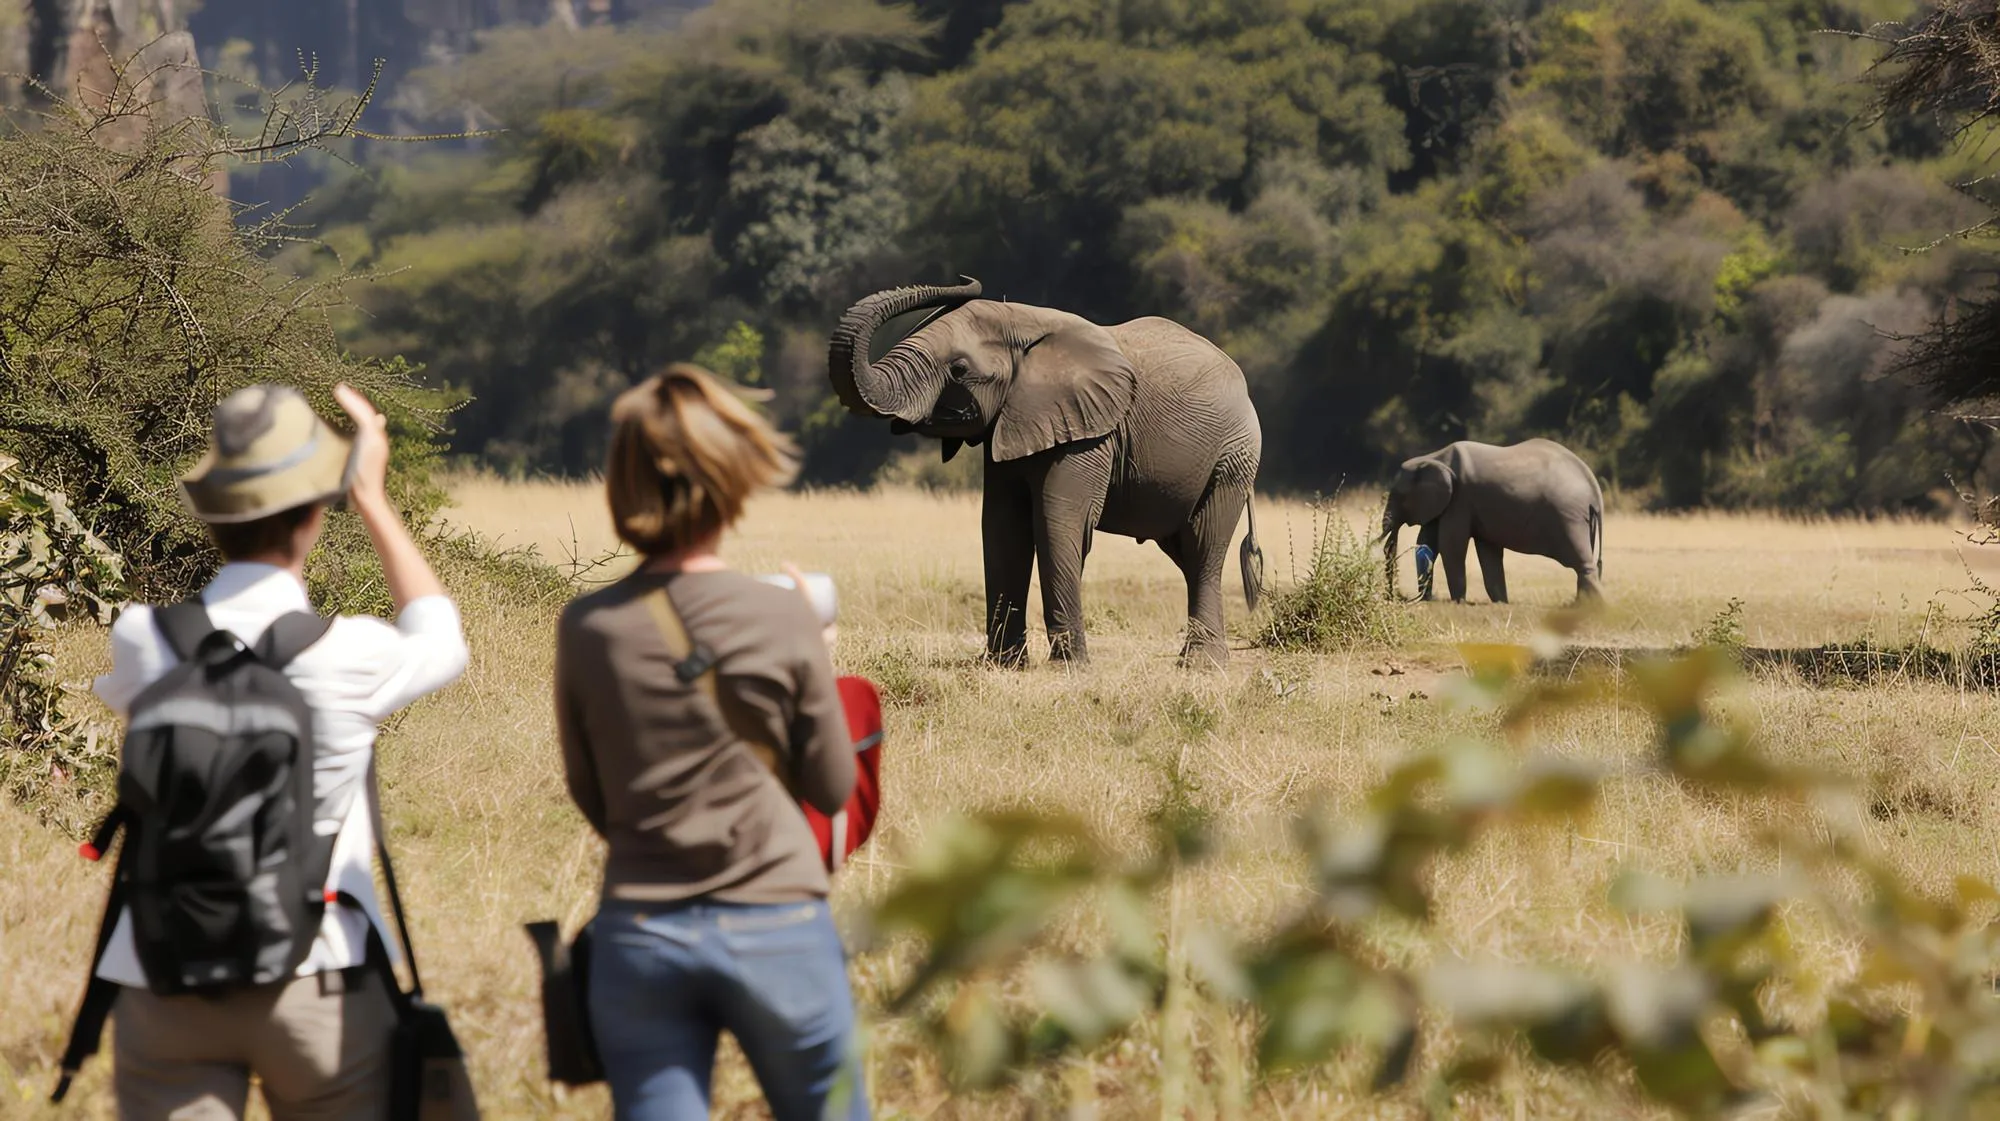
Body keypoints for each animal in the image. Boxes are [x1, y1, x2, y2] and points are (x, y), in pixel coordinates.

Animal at [827, 278, 1265, 668]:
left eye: (958, 369)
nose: (967, 280)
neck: (1025, 324)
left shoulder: (1090, 433)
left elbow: (1059, 522)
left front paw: (1069, 667)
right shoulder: (1010, 424)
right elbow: (1003, 528)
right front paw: (1003, 666)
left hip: (1233, 456)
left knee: (1203, 545)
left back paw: (1201, 665)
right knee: (1185, 551)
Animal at [1380, 438, 1603, 604]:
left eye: (1397, 496)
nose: (1395, 597)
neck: (1430, 459)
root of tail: (1592, 484)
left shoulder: (1460, 499)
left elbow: (1451, 545)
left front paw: (1458, 602)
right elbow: (1480, 549)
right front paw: (1501, 603)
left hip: (1568, 516)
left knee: (1580, 561)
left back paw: (1592, 608)